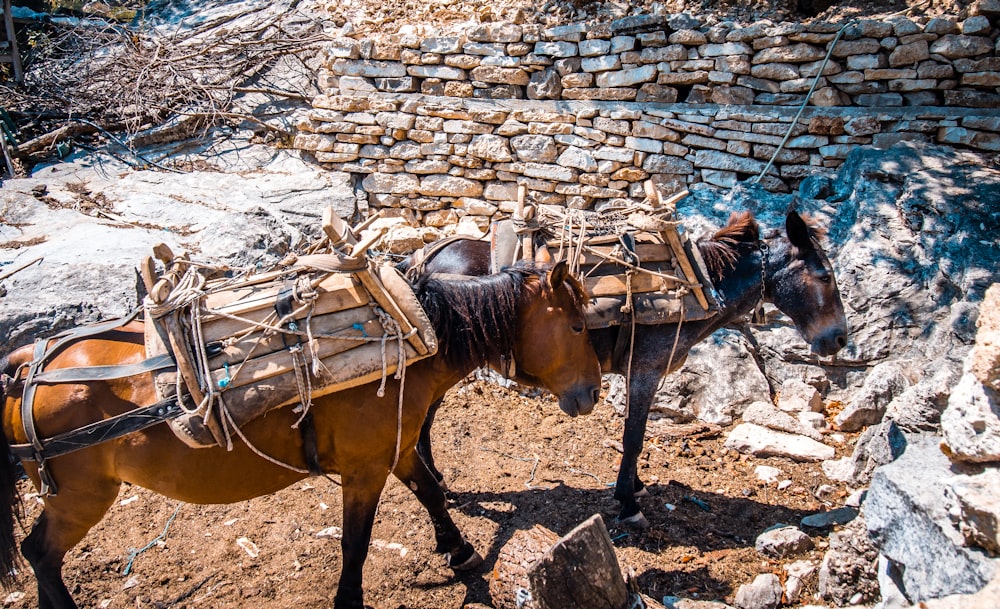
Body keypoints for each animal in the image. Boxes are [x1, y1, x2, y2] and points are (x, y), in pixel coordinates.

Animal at [0, 262, 596, 608]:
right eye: (577, 326)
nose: (590, 393)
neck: (413, 330)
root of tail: (28, 361)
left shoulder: (397, 449)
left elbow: (430, 491)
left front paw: (460, 550)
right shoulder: (364, 469)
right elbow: (356, 542)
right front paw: (349, 601)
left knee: (41, 558)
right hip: (82, 497)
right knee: (39, 554)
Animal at [402, 209, 848, 524]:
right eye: (825, 276)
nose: (840, 339)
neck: (700, 285)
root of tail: (422, 261)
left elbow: (639, 434)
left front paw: (636, 486)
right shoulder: (645, 372)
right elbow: (634, 437)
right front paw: (628, 502)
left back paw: (437, 479)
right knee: (424, 419)